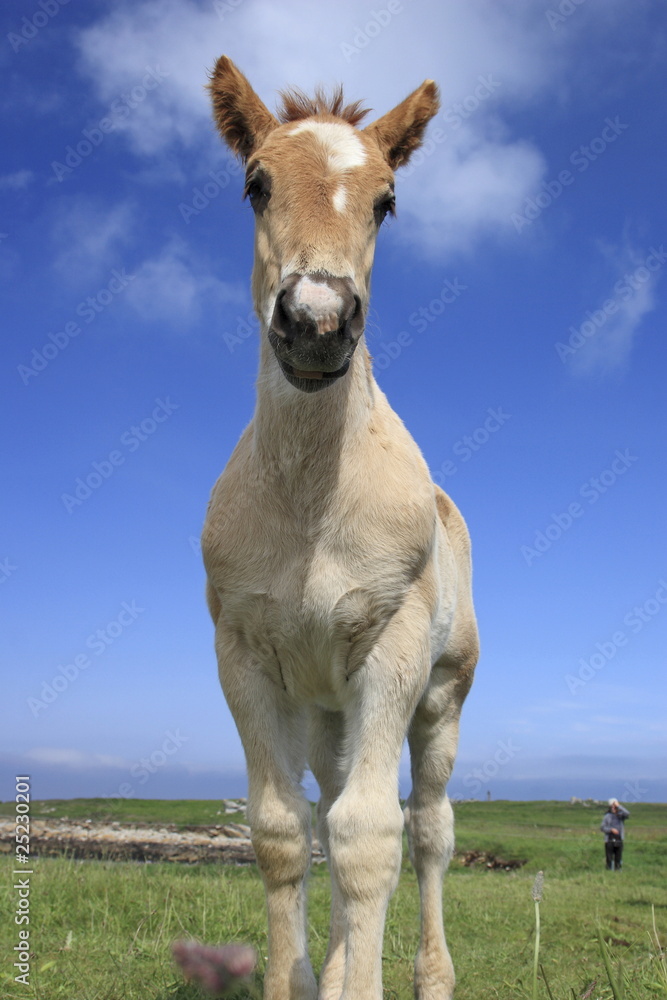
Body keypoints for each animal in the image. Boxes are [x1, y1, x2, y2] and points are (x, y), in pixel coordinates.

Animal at [202, 56, 479, 1000]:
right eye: (254, 184)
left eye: (386, 200)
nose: (317, 321)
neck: (311, 505)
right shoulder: (244, 655)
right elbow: (286, 830)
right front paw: (308, 979)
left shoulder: (392, 647)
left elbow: (369, 839)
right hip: (327, 709)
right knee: (325, 804)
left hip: (440, 696)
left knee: (426, 825)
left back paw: (431, 976)